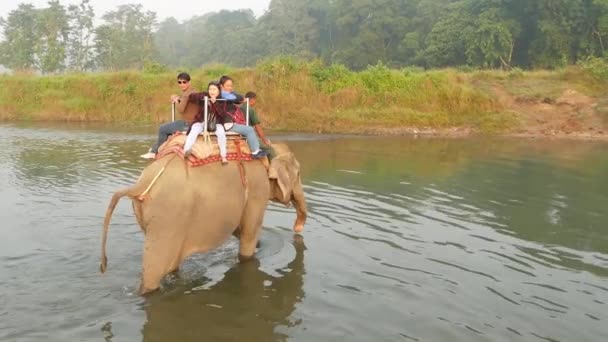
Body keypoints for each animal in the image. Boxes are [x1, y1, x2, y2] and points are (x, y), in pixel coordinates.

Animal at [101, 139, 308, 294]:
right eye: (298, 174)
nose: (297, 229)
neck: (267, 151)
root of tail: (140, 185)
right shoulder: (258, 190)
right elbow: (249, 233)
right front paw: (251, 251)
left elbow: (239, 229)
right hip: (167, 219)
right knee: (154, 271)